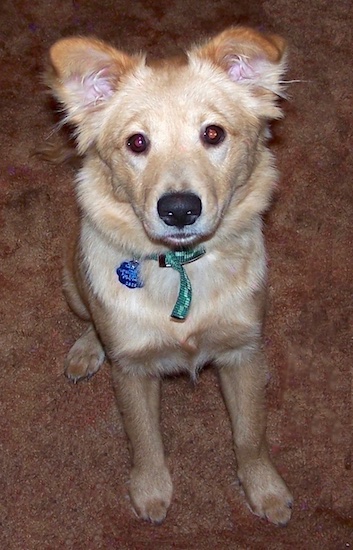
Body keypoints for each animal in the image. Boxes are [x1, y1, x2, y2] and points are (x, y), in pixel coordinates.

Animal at [47, 25, 294, 528]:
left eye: (213, 133)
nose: (179, 209)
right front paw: (151, 489)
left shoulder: (244, 353)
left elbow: (250, 436)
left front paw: (265, 490)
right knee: (91, 321)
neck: (183, 269)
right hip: (72, 283)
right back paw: (86, 348)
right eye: (137, 142)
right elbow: (144, 439)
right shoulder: (132, 370)